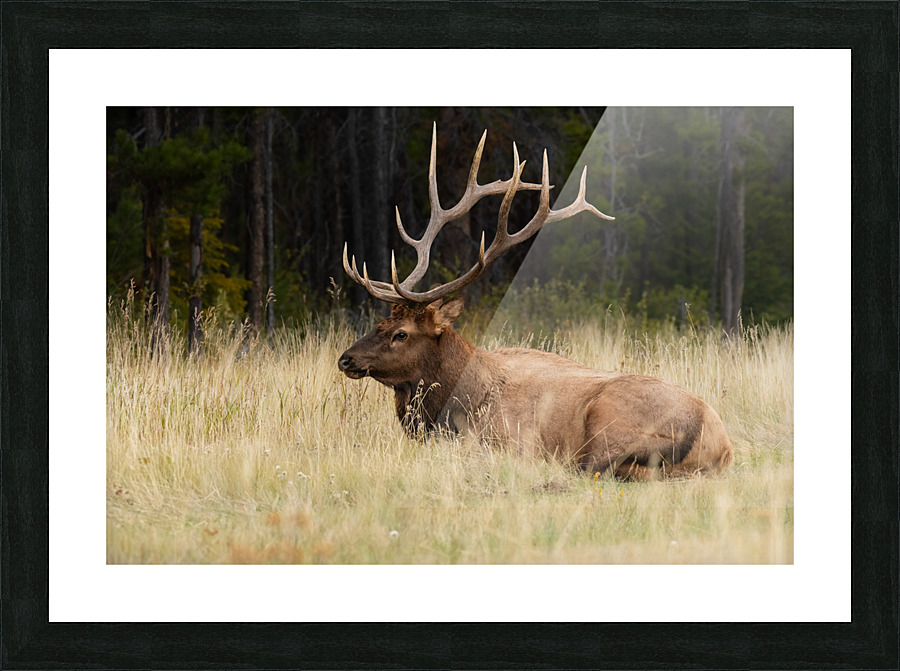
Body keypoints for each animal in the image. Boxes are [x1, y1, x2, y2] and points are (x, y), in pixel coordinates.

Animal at [338, 124, 733, 480]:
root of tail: (722, 444)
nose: (346, 359)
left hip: (608, 420)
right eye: (379, 324)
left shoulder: (504, 440)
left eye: (401, 334)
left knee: (596, 469)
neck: (454, 403)